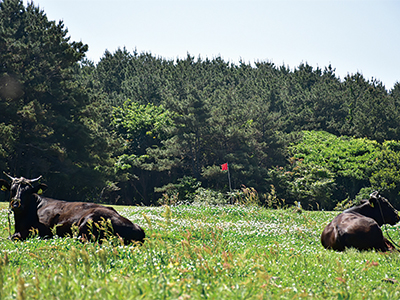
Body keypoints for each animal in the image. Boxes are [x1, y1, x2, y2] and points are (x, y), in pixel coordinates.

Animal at [0, 172, 145, 245]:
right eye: (12, 189)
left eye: (28, 191)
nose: (16, 204)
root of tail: (139, 229)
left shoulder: (44, 230)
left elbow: (13, 237)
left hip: (88, 220)